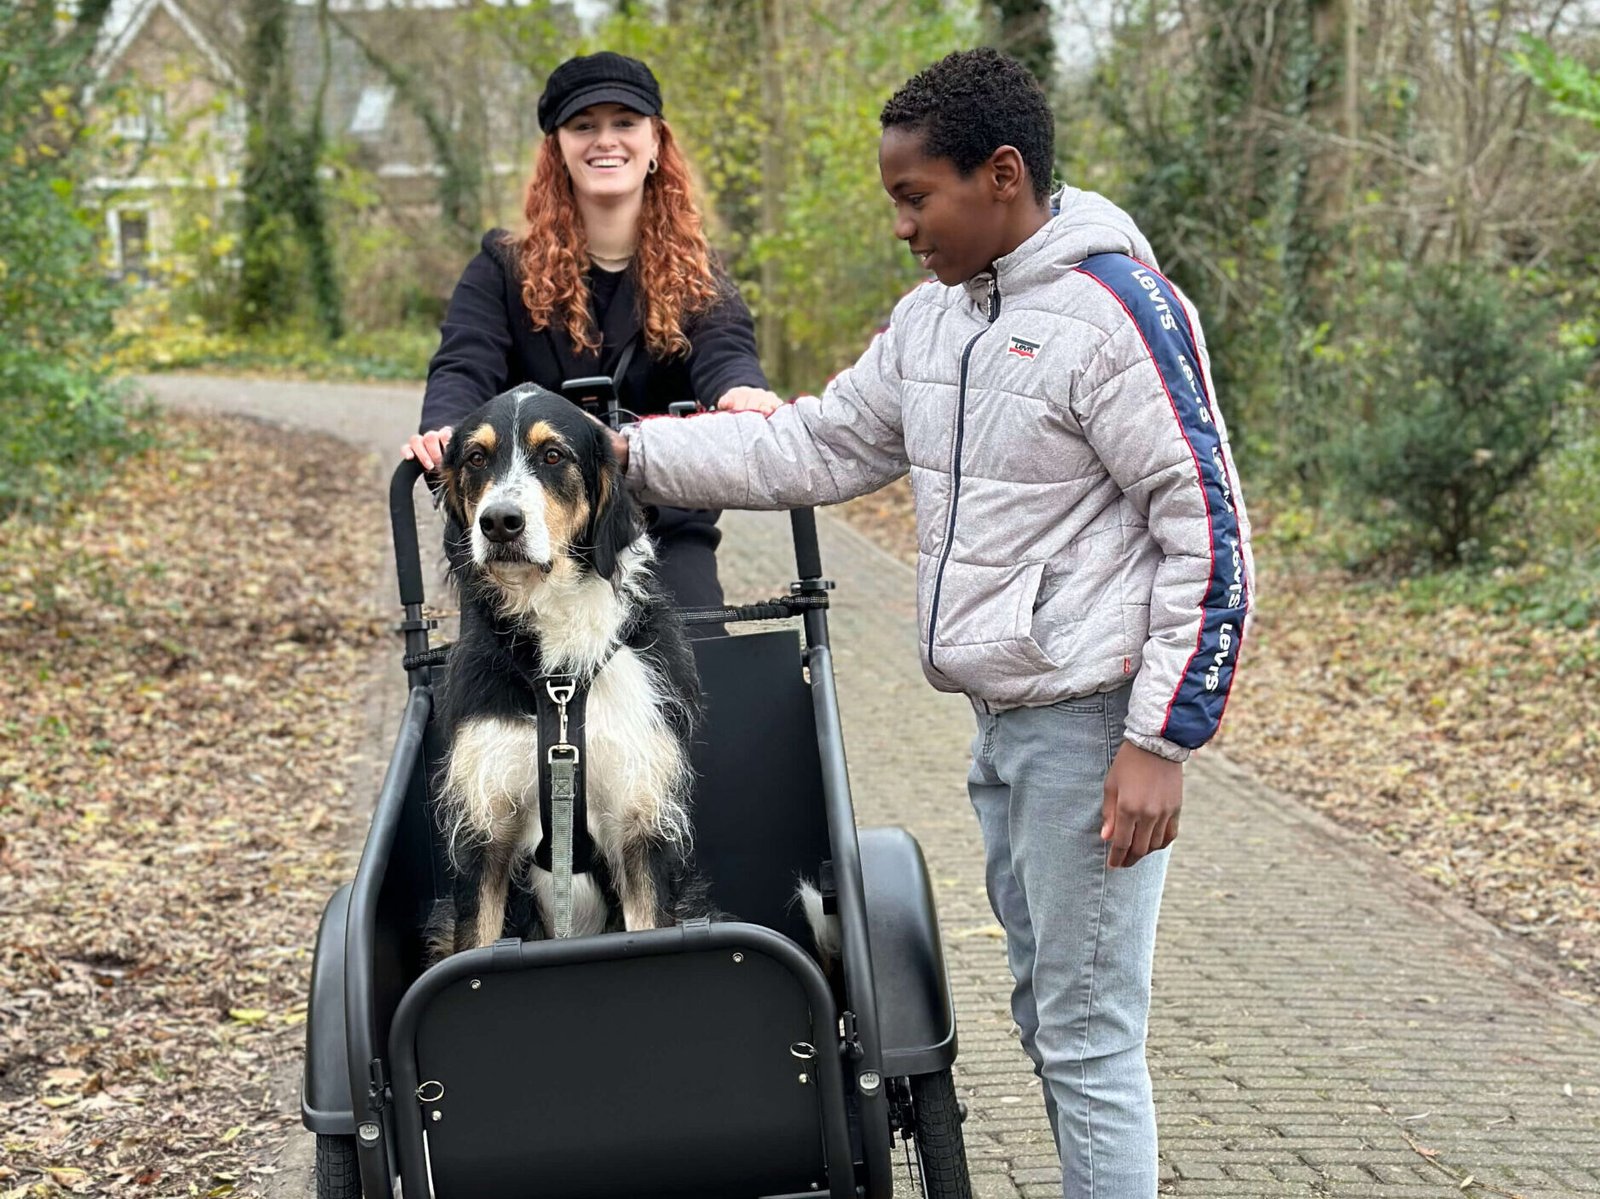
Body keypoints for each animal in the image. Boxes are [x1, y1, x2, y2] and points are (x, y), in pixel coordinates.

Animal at [432, 388, 720, 960]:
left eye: (552, 455)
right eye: (475, 458)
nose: (499, 522)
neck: (561, 680)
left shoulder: (641, 829)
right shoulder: (483, 832)